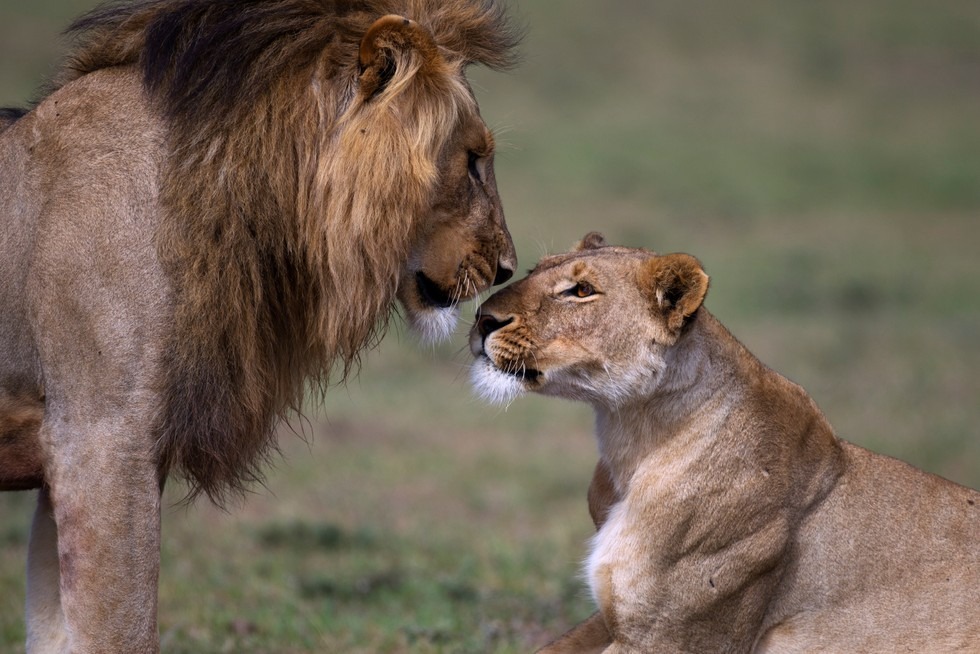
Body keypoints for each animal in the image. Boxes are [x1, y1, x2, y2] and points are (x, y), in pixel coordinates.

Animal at [470, 233, 980, 653]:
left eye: (581, 291)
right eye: (534, 270)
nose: (482, 319)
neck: (630, 440)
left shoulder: (669, 638)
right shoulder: (614, 618)